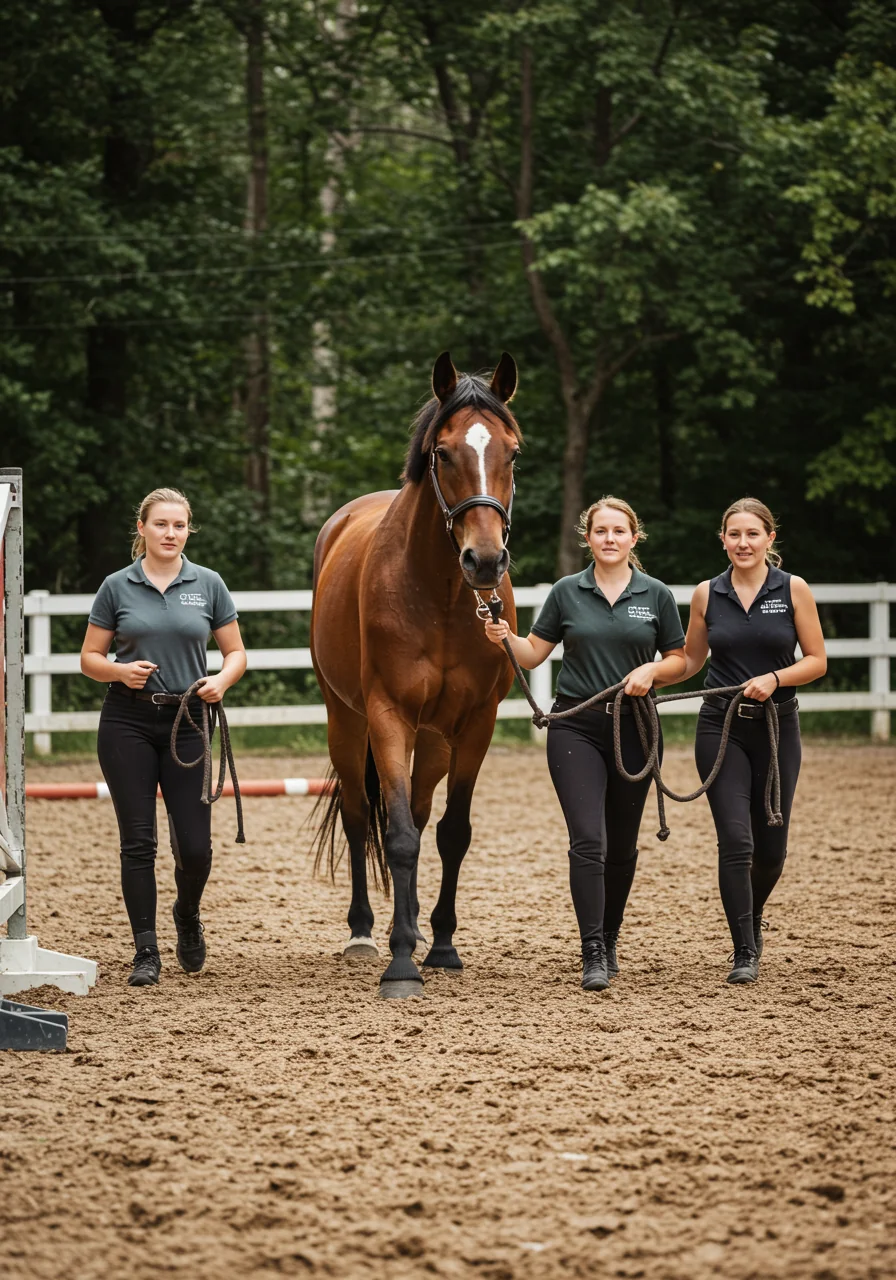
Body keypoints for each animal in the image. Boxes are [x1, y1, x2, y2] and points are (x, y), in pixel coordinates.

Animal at [310, 351, 522, 998]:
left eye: (513, 452)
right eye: (444, 453)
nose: (485, 560)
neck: (445, 596)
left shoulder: (476, 724)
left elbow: (451, 832)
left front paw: (443, 946)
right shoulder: (388, 716)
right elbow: (397, 835)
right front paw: (401, 963)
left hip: (434, 739)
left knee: (423, 816)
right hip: (347, 720)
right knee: (360, 816)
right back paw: (364, 934)